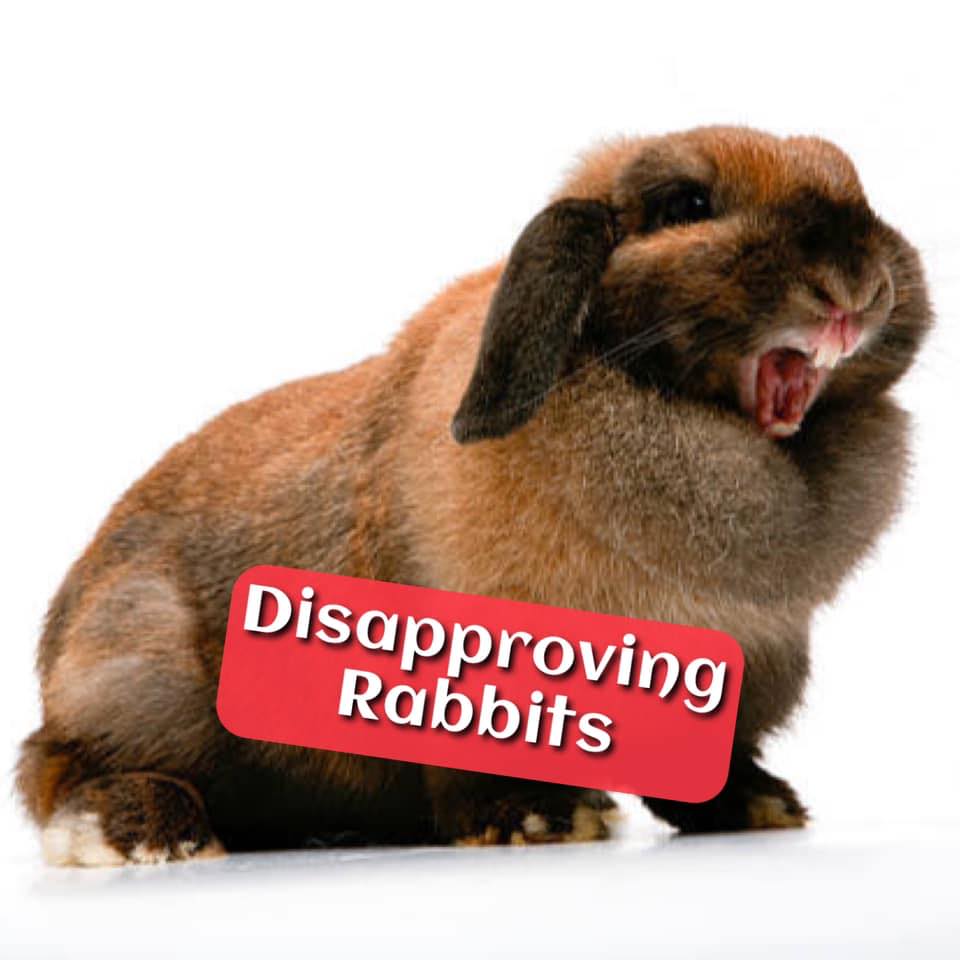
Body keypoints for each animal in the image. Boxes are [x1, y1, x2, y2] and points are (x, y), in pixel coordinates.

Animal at [18, 126, 930, 865]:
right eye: (687, 203)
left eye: (855, 184)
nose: (855, 284)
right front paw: (536, 819)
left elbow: (714, 764)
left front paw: (758, 804)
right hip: (143, 668)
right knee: (62, 765)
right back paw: (148, 833)